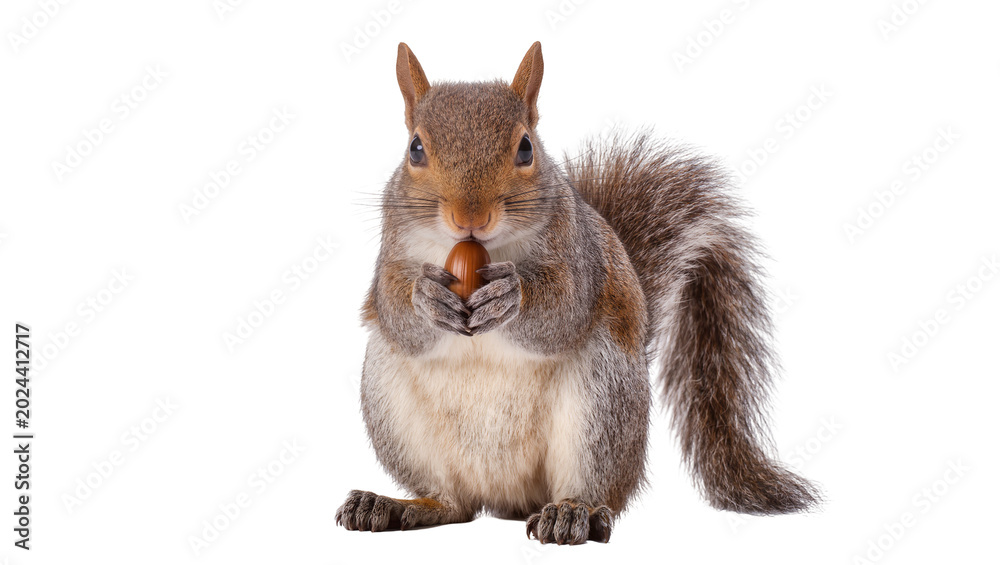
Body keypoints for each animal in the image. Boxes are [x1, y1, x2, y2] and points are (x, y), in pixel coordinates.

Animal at [336, 41, 821, 545]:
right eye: (415, 149)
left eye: (526, 148)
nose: (470, 217)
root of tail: (507, 497)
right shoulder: (392, 251)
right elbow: (394, 310)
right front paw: (425, 297)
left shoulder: (578, 255)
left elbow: (564, 309)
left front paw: (512, 295)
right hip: (392, 406)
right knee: (454, 504)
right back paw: (398, 506)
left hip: (602, 401)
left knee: (594, 490)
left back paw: (572, 514)